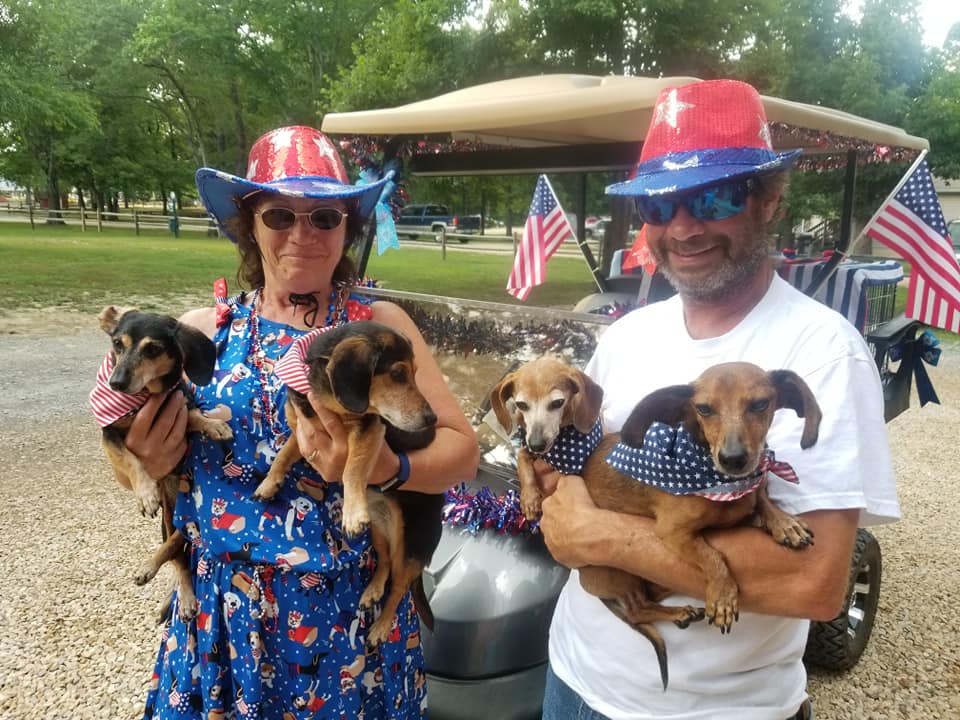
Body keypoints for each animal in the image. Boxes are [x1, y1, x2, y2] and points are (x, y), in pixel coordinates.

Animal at [98, 304, 232, 620]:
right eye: (117, 344)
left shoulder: (182, 407)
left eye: (153, 349)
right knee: (178, 559)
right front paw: (146, 495)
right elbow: (132, 459)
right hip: (169, 521)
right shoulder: (109, 434)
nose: (116, 383)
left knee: (177, 548)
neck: (147, 396)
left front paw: (214, 426)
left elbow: (194, 415)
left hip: (181, 520)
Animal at [249, 322, 440, 648]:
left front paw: (351, 513)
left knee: (399, 587)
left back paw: (380, 626)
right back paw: (372, 590)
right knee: (385, 564)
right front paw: (269, 483)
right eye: (398, 373)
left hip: (410, 546)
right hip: (380, 530)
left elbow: (352, 469)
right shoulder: (303, 431)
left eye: (414, 373)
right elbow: (283, 455)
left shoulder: (369, 428)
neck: (329, 401)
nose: (432, 419)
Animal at [496, 358, 816, 688]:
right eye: (703, 409)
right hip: (618, 572)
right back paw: (677, 613)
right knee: (638, 611)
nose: (734, 458)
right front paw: (724, 596)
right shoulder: (674, 532)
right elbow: (713, 556)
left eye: (761, 404)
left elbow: (761, 496)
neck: (720, 481)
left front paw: (784, 523)